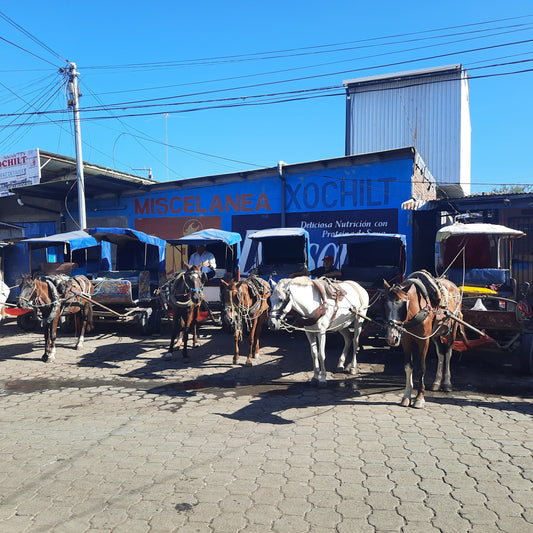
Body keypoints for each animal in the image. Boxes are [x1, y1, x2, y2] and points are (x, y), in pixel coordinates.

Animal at [382, 270, 462, 408]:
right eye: (385, 304)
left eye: (403, 304)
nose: (392, 337)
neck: (416, 311)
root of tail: (453, 285)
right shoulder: (406, 340)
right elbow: (408, 367)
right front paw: (407, 396)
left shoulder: (424, 341)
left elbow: (422, 368)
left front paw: (419, 398)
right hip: (435, 334)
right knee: (441, 353)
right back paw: (437, 382)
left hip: (451, 331)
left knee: (448, 353)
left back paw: (447, 383)